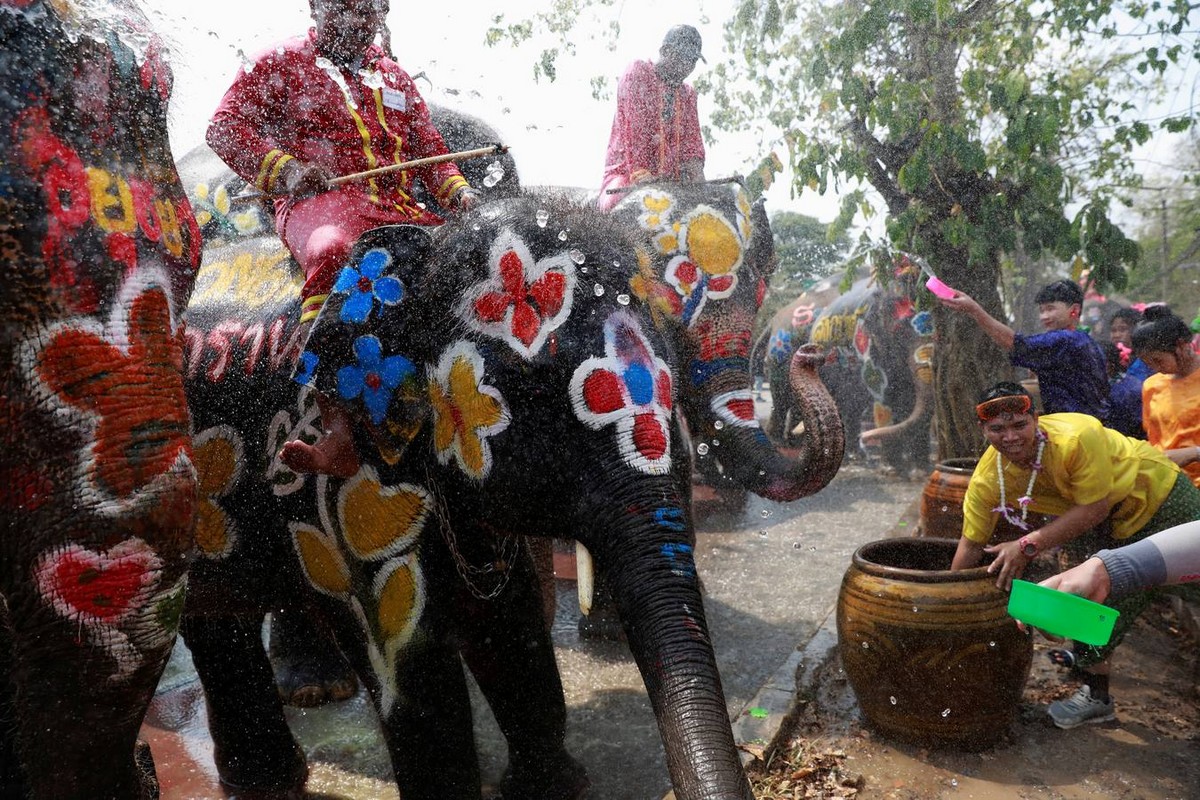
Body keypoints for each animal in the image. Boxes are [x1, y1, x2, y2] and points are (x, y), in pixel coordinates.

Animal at [177, 167, 844, 796]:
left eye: (672, 373)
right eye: (532, 390)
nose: (810, 355)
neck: (424, 247)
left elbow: (513, 620)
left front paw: (552, 787)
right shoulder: (343, 477)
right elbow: (407, 654)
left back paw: (269, 770)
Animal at [758, 273, 936, 474]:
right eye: (901, 332)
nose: (867, 436)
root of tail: (774, 321)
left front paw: (920, 471)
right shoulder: (867, 341)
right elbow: (885, 394)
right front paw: (892, 469)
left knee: (850, 404)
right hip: (783, 353)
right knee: (783, 398)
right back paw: (781, 443)